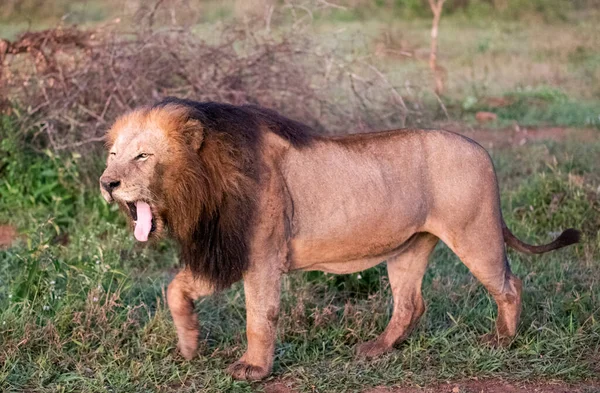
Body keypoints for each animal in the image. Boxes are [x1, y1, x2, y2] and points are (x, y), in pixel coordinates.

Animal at [101, 97, 580, 380]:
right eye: (113, 154)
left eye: (142, 156)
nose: (107, 183)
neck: (200, 186)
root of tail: (481, 148)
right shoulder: (227, 252)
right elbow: (174, 289)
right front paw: (189, 346)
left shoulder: (261, 257)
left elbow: (259, 317)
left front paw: (253, 369)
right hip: (409, 247)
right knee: (411, 304)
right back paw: (377, 350)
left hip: (475, 233)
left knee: (509, 285)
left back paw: (502, 342)